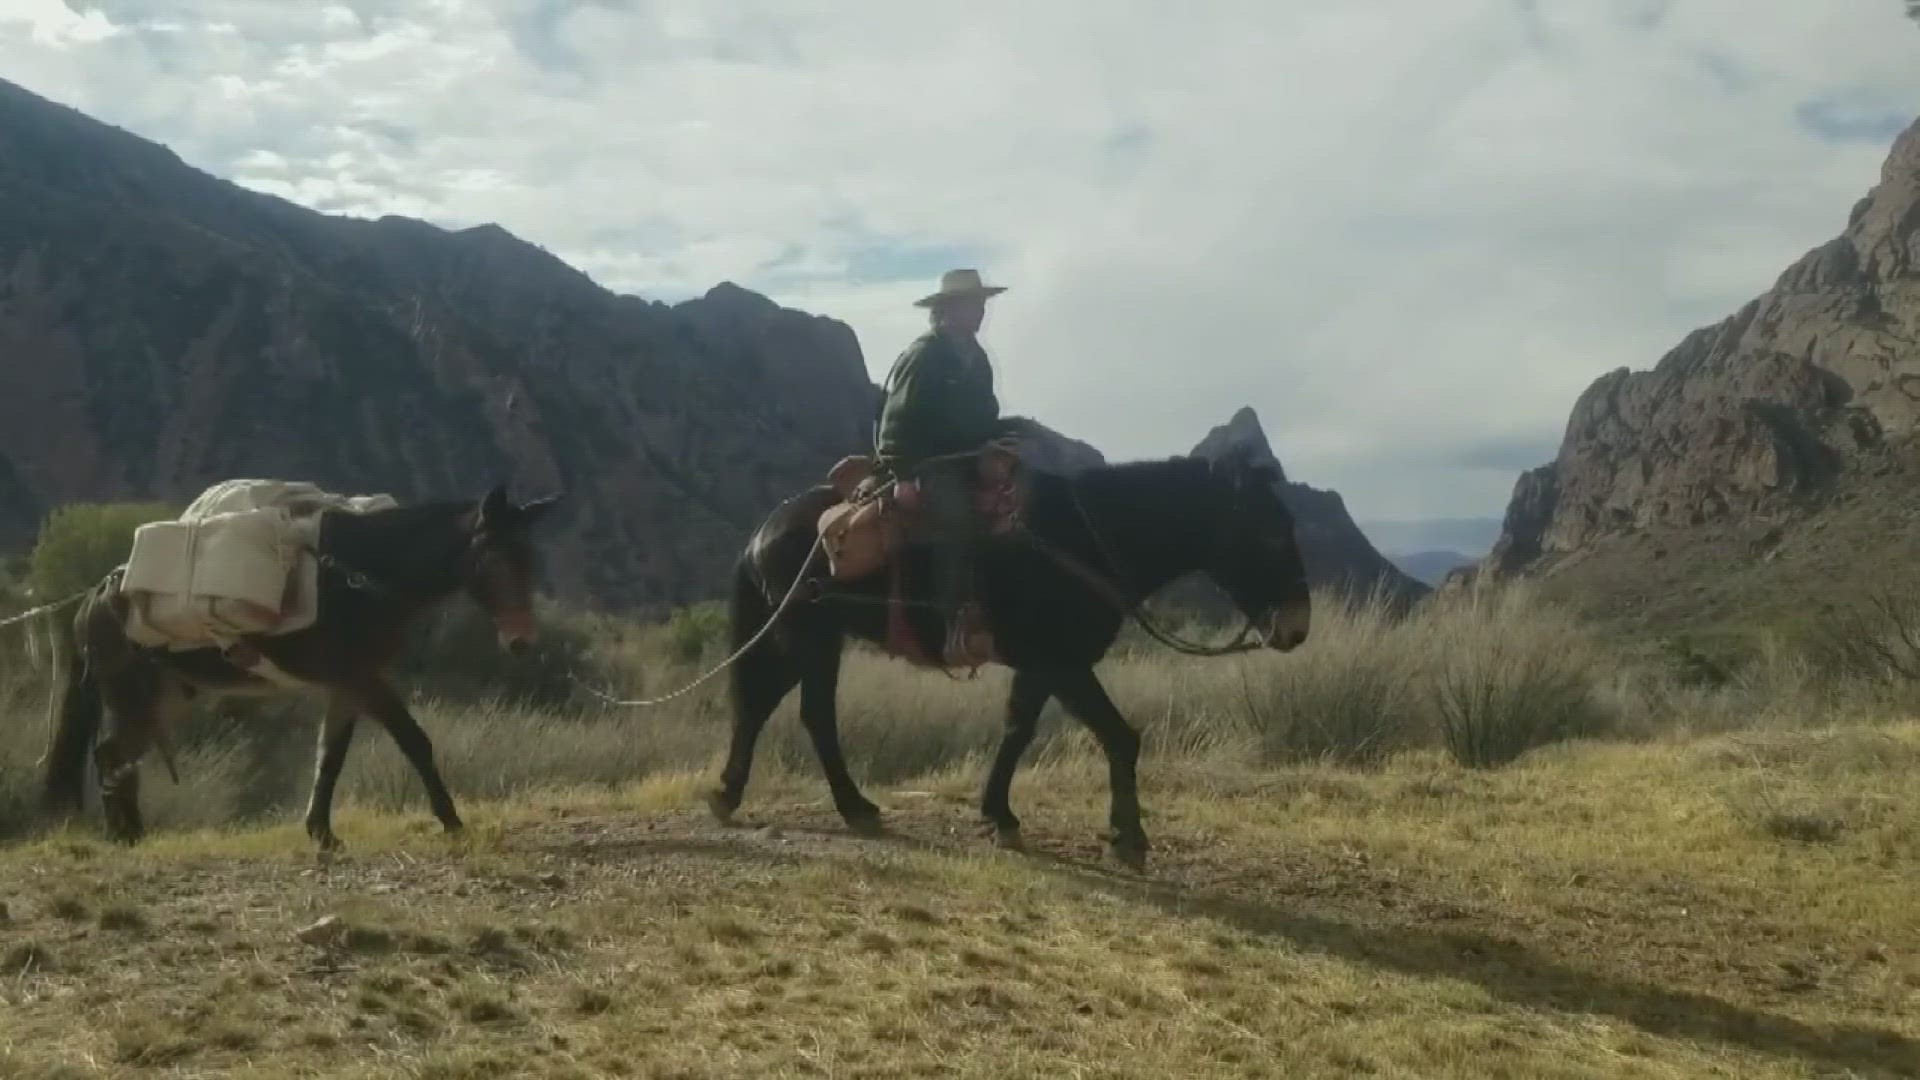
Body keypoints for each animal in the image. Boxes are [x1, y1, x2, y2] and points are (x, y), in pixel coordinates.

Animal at [39, 484, 556, 845]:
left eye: (531, 557)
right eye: (494, 555)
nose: (522, 641)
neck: (361, 577)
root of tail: (93, 598)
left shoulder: (347, 685)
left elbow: (330, 754)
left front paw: (321, 833)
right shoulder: (365, 679)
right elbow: (415, 742)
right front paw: (451, 821)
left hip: (163, 697)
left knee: (119, 755)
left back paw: (132, 834)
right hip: (128, 693)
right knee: (110, 756)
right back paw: (124, 836)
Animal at [714, 447, 1313, 864]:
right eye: (1271, 533)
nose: (1297, 627)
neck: (1086, 540)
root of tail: (766, 528)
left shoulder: (1041, 665)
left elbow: (1017, 729)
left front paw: (998, 814)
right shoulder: (1064, 663)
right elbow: (1119, 736)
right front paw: (1128, 837)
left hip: (813, 639)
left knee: (783, 710)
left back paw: (789, 799)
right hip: (807, 637)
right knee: (788, 711)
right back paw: (792, 800)